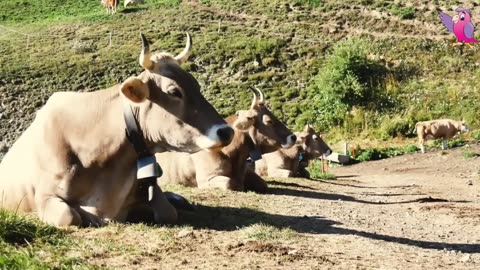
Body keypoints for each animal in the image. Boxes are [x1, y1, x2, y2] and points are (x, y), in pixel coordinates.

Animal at [0, 32, 234, 228]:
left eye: (196, 85)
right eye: (174, 91)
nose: (227, 132)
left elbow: (168, 212)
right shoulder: (45, 195)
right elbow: (70, 216)